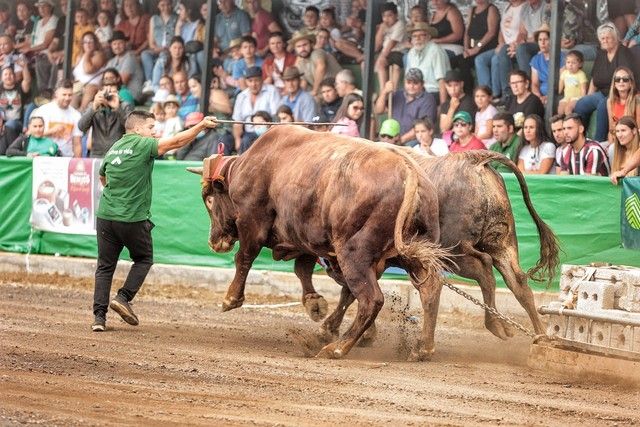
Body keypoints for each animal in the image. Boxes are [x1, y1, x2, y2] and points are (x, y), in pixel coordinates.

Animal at [190, 125, 448, 360]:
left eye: (209, 200)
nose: (213, 241)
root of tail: (409, 171)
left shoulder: (252, 221)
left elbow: (244, 257)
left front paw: (231, 298)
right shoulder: (303, 237)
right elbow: (303, 270)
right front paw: (314, 304)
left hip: (353, 255)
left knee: (371, 299)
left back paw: (337, 348)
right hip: (408, 255)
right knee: (429, 288)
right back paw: (422, 348)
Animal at [298, 150, 556, 354]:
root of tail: (472, 160)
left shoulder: (358, 258)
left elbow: (352, 292)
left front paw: (331, 330)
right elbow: (352, 293)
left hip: (454, 252)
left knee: (482, 269)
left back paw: (490, 326)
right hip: (502, 243)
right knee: (517, 282)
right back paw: (540, 338)